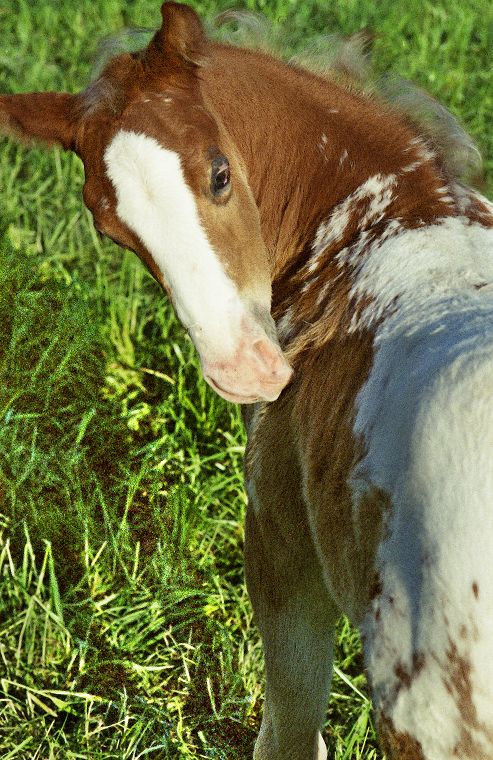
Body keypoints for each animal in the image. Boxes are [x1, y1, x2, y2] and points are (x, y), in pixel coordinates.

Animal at [2, 2, 492, 756]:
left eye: (220, 173)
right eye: (111, 228)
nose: (242, 369)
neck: (388, 220)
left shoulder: (278, 537)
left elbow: (287, 731)